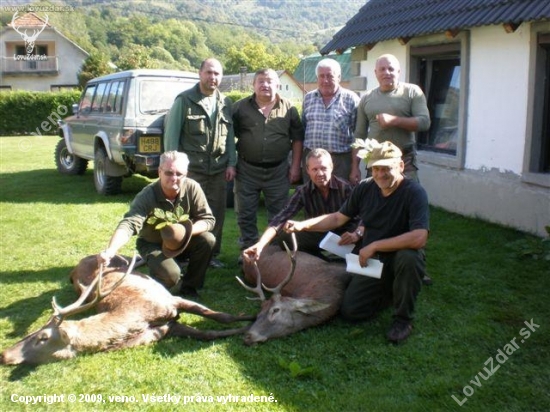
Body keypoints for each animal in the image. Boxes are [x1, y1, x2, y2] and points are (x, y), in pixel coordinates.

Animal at [1, 253, 256, 366]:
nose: (4, 355)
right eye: (30, 333)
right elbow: (209, 334)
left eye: (42, 337)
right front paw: (247, 329)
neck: (138, 318)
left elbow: (221, 316)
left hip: (119, 259)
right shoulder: (168, 328)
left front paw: (251, 317)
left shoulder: (170, 299)